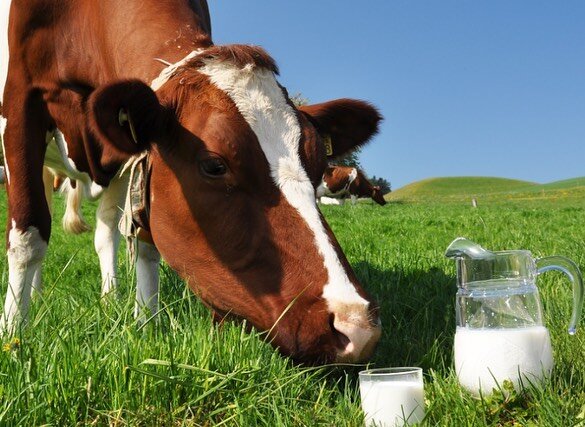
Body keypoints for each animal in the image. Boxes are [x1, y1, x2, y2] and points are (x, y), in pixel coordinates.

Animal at [1, 0, 384, 364]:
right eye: (214, 165)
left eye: (319, 164)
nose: (355, 325)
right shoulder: (20, 102)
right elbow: (28, 234)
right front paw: (13, 336)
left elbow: (145, 242)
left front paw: (146, 324)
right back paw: (33, 297)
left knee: (106, 231)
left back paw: (107, 299)